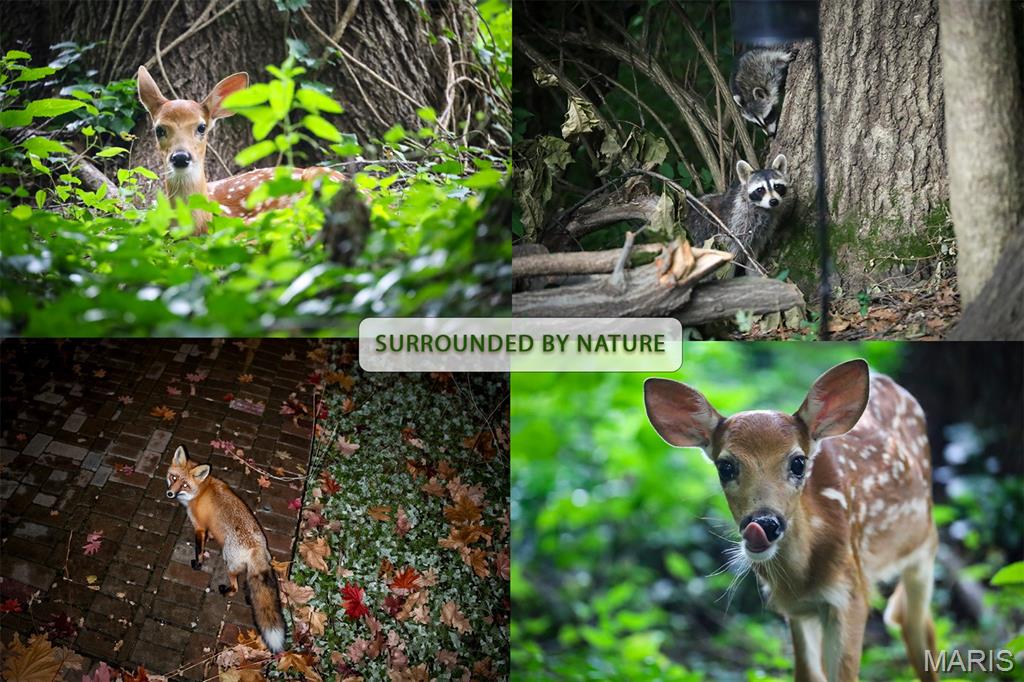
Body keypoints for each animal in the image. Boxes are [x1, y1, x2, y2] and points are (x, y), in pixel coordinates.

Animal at [644, 359, 938, 682]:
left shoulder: (851, 594)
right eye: (725, 466)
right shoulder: (794, 610)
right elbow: (808, 674)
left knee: (916, 627)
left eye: (798, 463)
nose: (764, 523)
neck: (803, 578)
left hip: (924, 548)